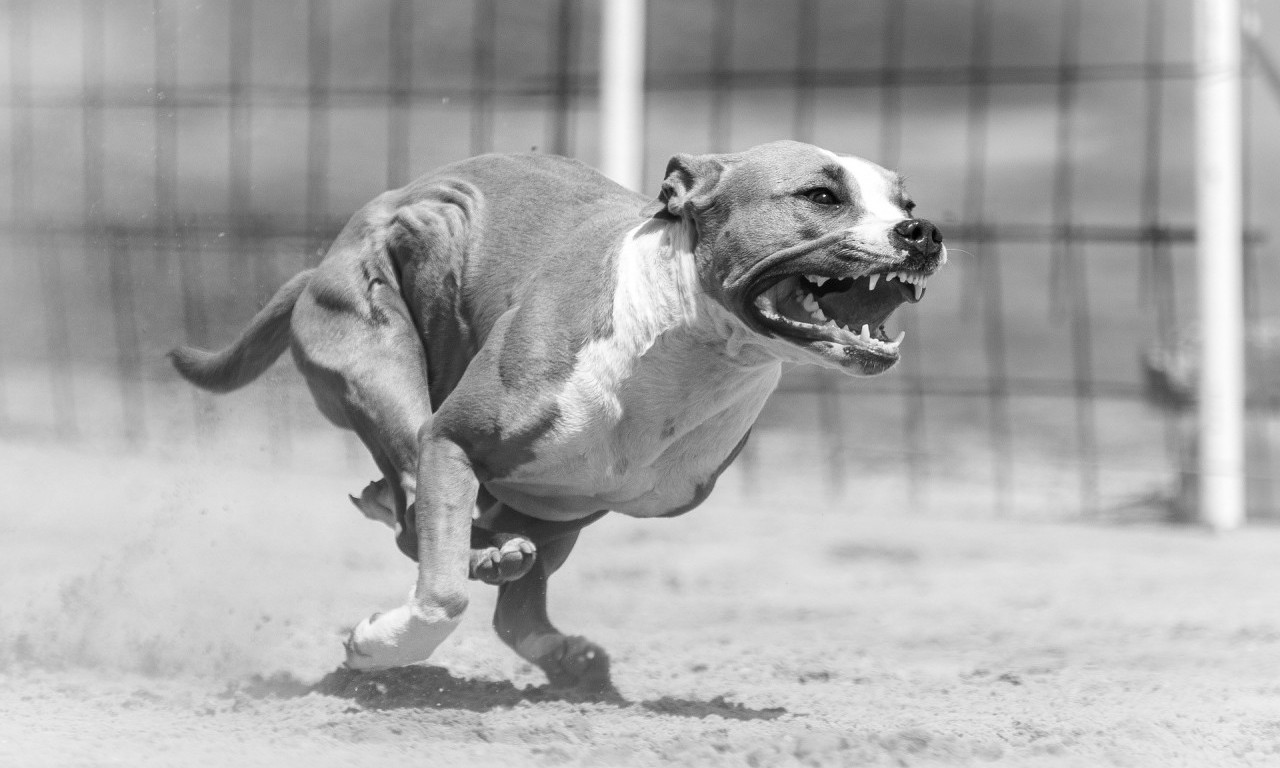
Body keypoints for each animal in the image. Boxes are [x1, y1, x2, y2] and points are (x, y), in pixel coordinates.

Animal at [170, 140, 947, 691]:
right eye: (821, 195)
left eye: (903, 198)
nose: (923, 231)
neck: (685, 345)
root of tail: (319, 264)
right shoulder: (454, 440)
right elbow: (442, 593)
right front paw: (375, 647)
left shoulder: (574, 501)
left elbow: (500, 590)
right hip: (381, 354)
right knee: (412, 497)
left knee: (448, 540)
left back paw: (530, 604)